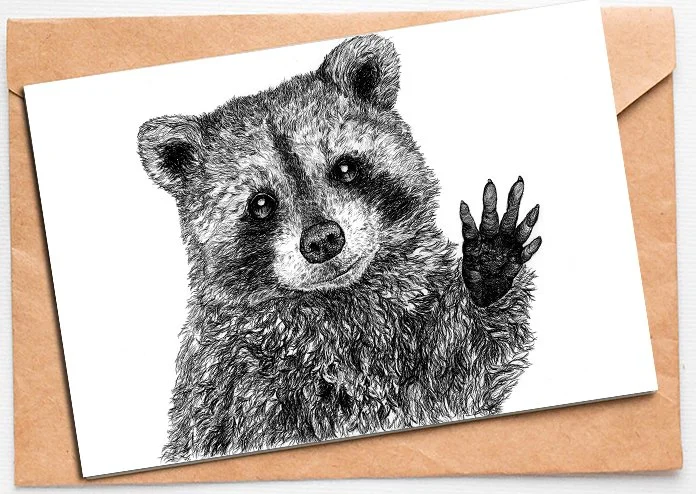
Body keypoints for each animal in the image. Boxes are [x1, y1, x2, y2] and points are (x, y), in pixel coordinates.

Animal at [137, 34, 541, 462]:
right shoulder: (232, 383)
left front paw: (488, 274)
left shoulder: (423, 340)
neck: (341, 301)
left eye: (345, 168)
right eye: (260, 204)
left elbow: (468, 370)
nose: (322, 240)